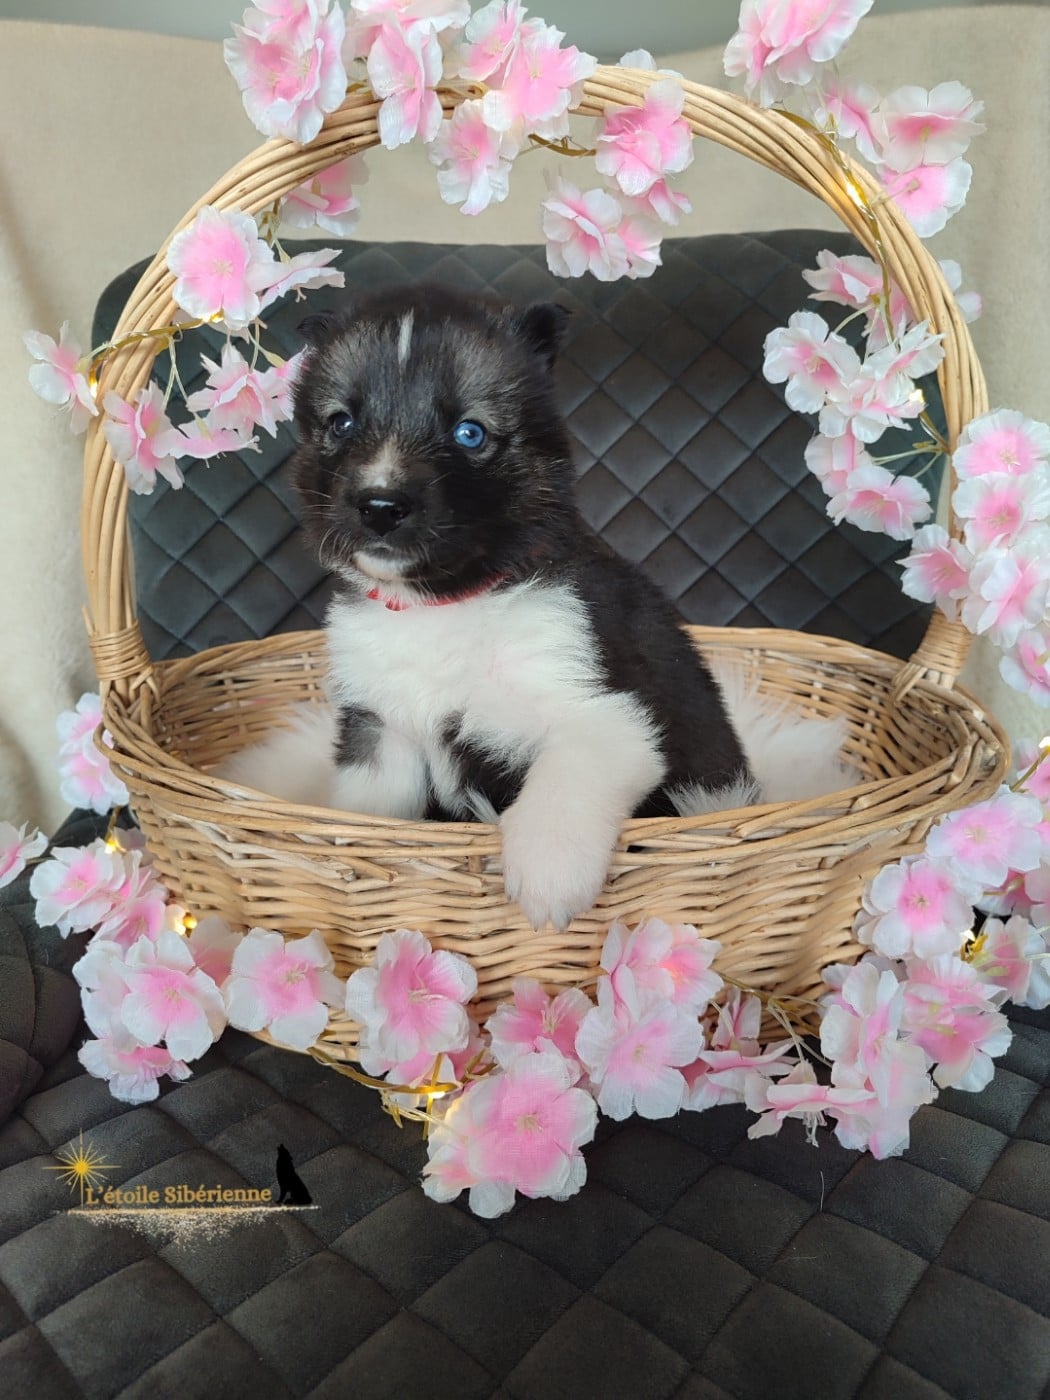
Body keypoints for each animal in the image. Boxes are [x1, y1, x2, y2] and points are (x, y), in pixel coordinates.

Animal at [281, 283, 756, 931]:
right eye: (341, 422)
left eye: (470, 433)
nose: (379, 506)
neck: (444, 604)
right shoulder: (381, 729)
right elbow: (371, 807)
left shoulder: (607, 713)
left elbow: (566, 777)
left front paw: (548, 877)